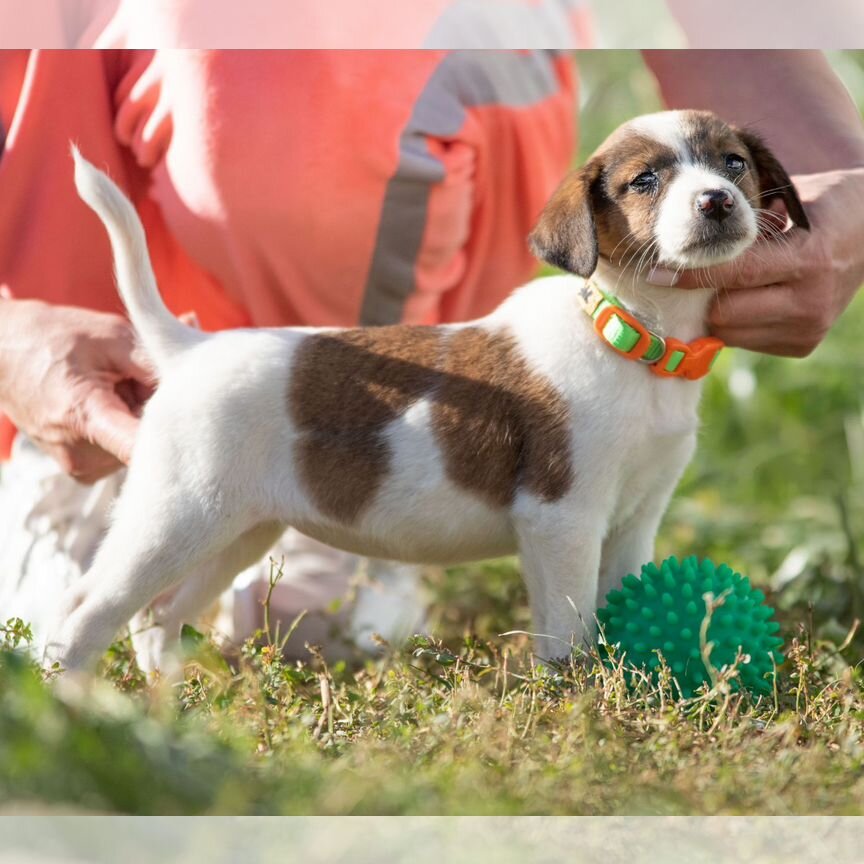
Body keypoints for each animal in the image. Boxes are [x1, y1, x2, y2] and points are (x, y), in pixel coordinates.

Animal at [47, 108, 808, 672]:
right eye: (645, 180)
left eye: (734, 163)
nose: (717, 200)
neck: (633, 338)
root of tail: (190, 348)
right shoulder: (562, 519)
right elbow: (568, 631)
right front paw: (579, 700)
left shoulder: (634, 521)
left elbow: (625, 601)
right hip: (177, 515)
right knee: (86, 611)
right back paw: (81, 708)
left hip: (238, 529)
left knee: (156, 618)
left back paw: (167, 704)